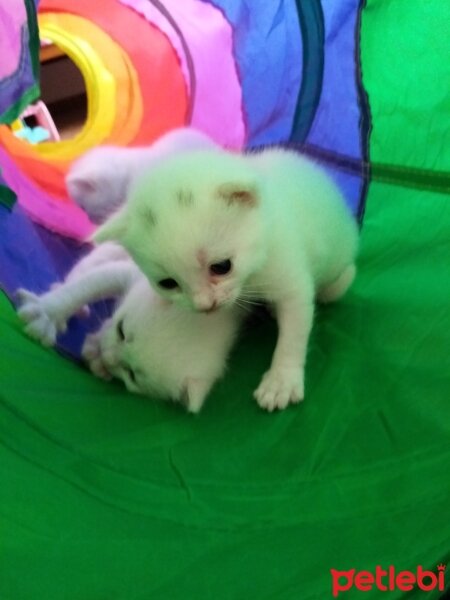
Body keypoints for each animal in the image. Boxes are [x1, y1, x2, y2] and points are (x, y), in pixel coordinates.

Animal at [16, 244, 243, 412]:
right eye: (121, 331)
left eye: (132, 375)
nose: (108, 358)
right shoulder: (135, 275)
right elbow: (84, 287)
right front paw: (46, 313)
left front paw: (96, 355)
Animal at [94, 148, 358, 412]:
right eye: (167, 283)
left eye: (221, 267)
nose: (204, 306)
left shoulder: (289, 274)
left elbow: (293, 333)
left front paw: (281, 381)